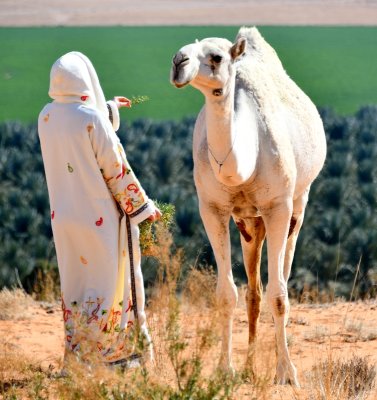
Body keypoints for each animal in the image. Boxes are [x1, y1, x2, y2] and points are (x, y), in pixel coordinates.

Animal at [170, 27, 326, 384]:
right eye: (185, 49)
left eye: (216, 57)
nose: (178, 62)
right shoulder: (212, 208)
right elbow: (227, 293)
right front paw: (224, 369)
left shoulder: (278, 205)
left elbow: (279, 295)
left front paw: (286, 373)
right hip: (248, 221)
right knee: (254, 290)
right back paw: (250, 365)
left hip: (298, 202)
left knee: (281, 278)